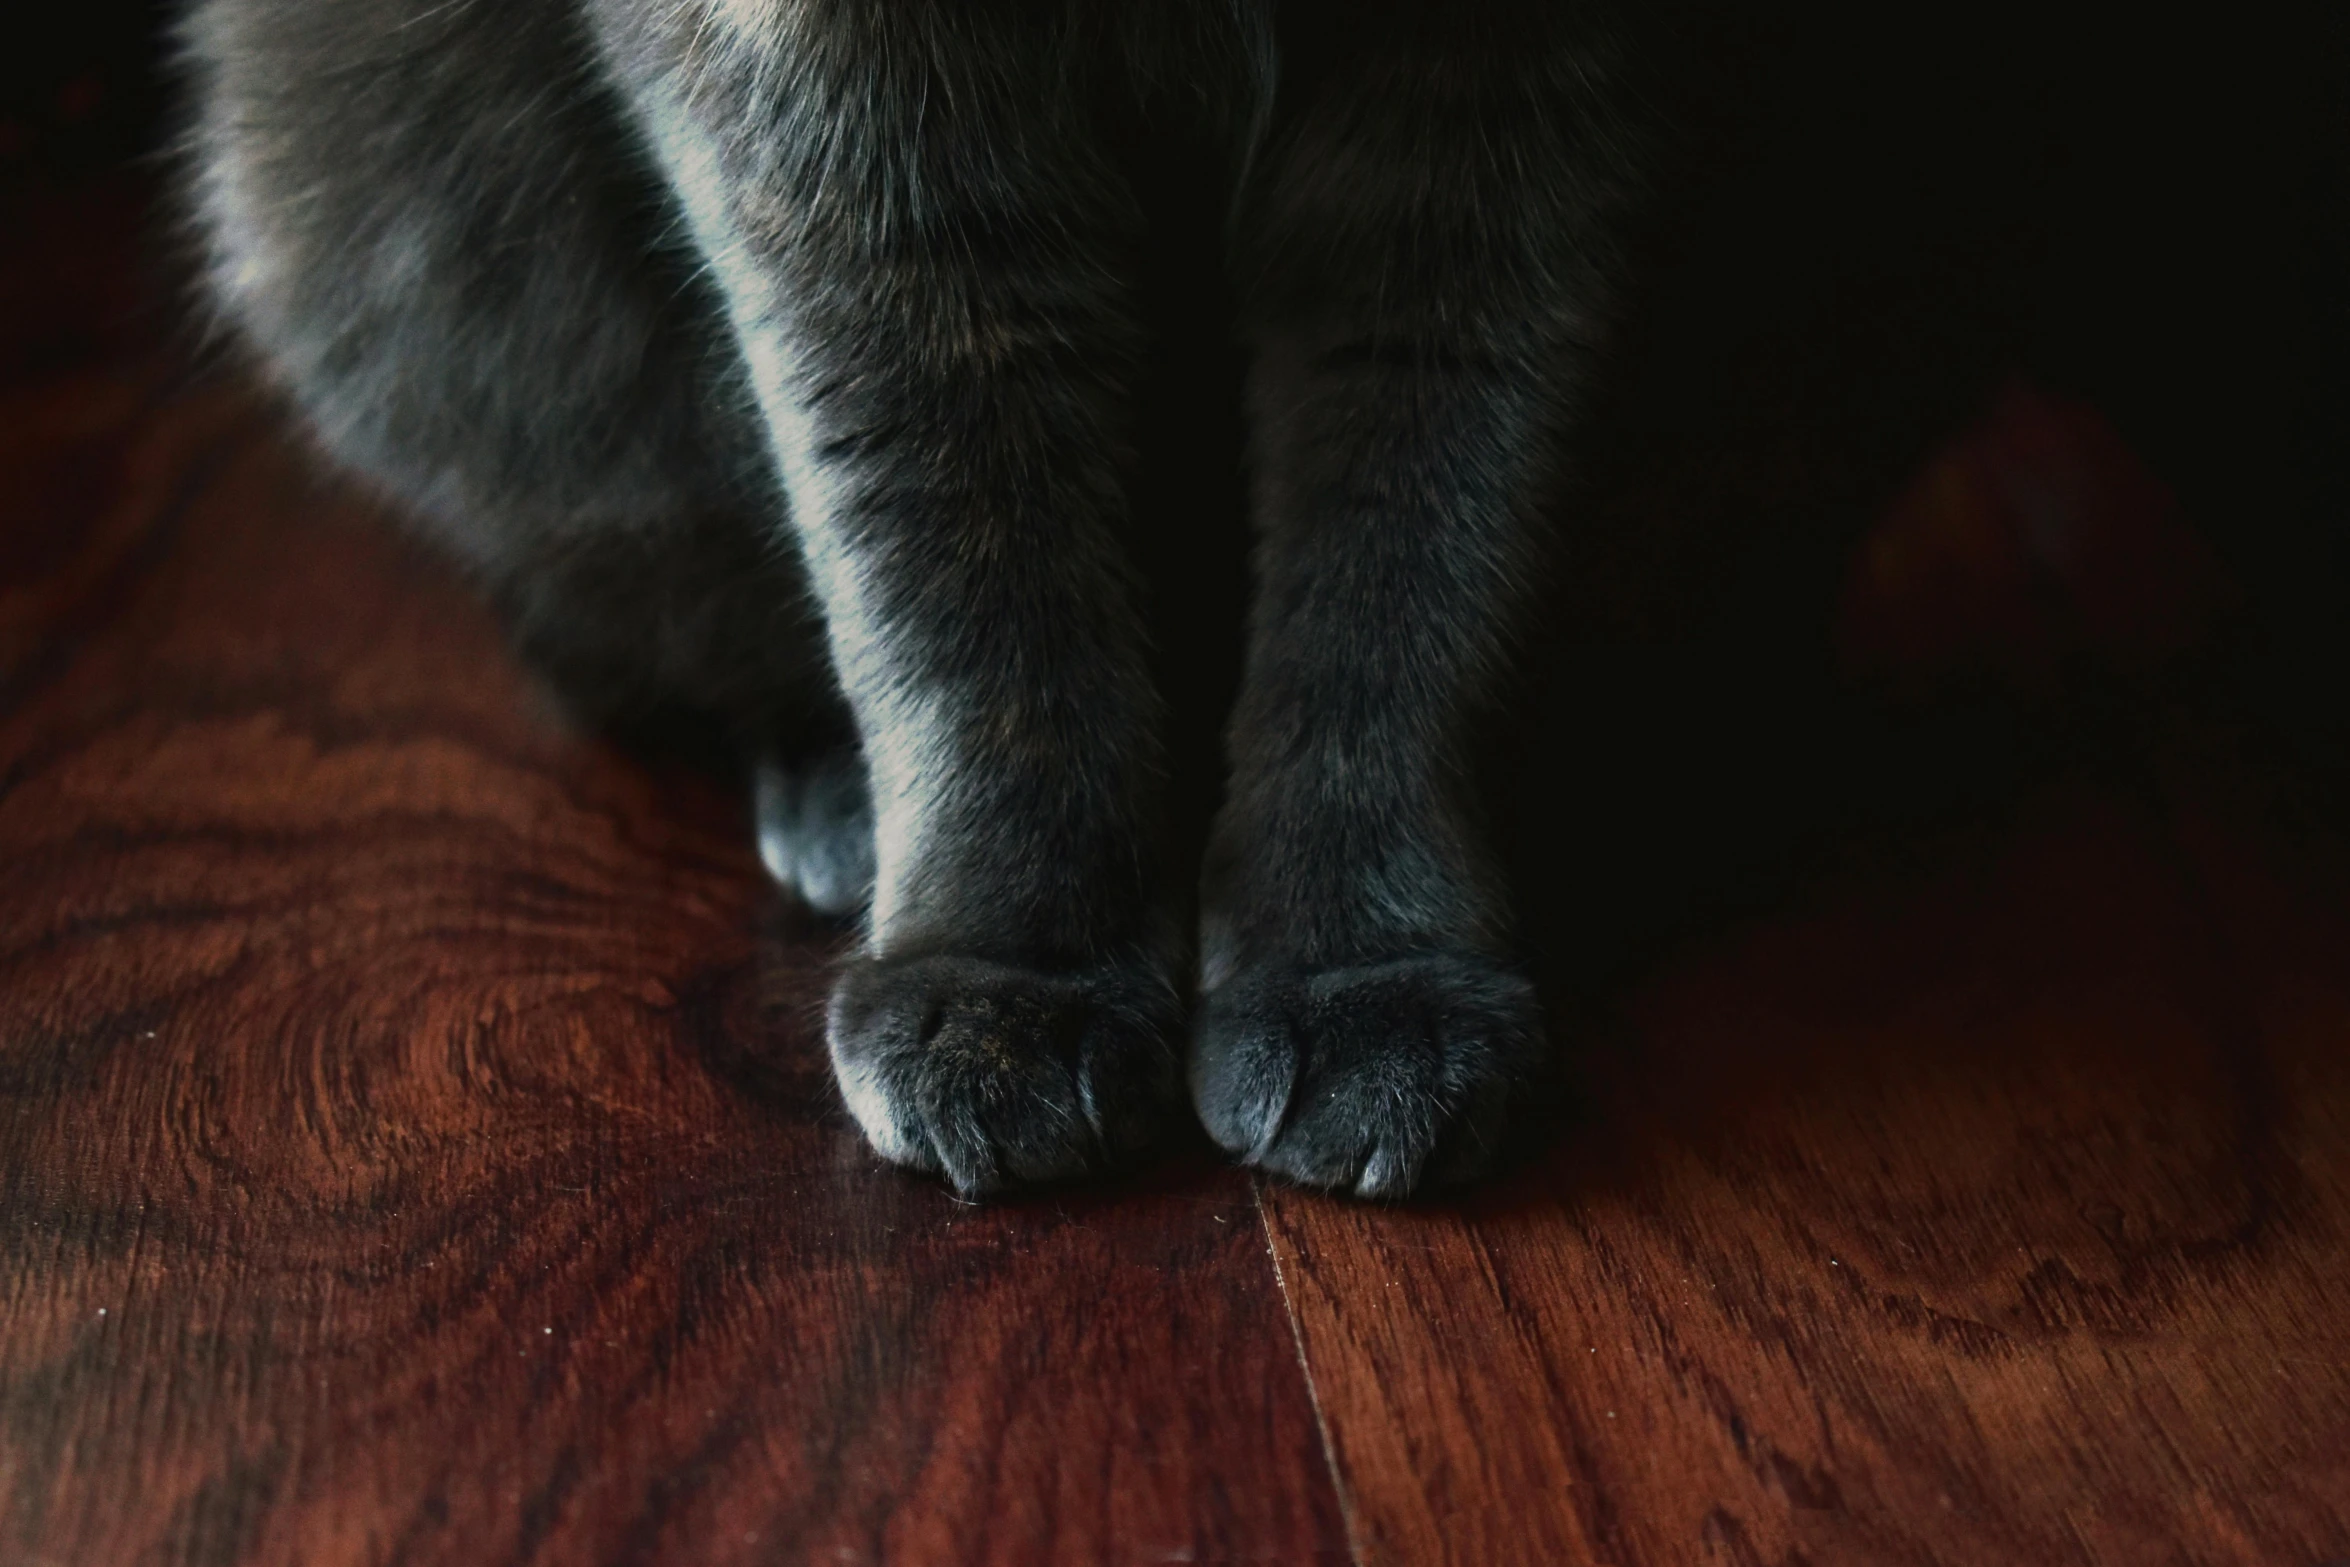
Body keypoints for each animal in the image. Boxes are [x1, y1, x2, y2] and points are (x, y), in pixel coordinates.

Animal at [178, 0, 1635, 1202]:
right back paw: (842, 817)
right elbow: (955, 530)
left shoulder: (1501, 101)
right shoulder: (833, 99)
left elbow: (1414, 514)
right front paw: (1001, 981)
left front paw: (1372, 966)